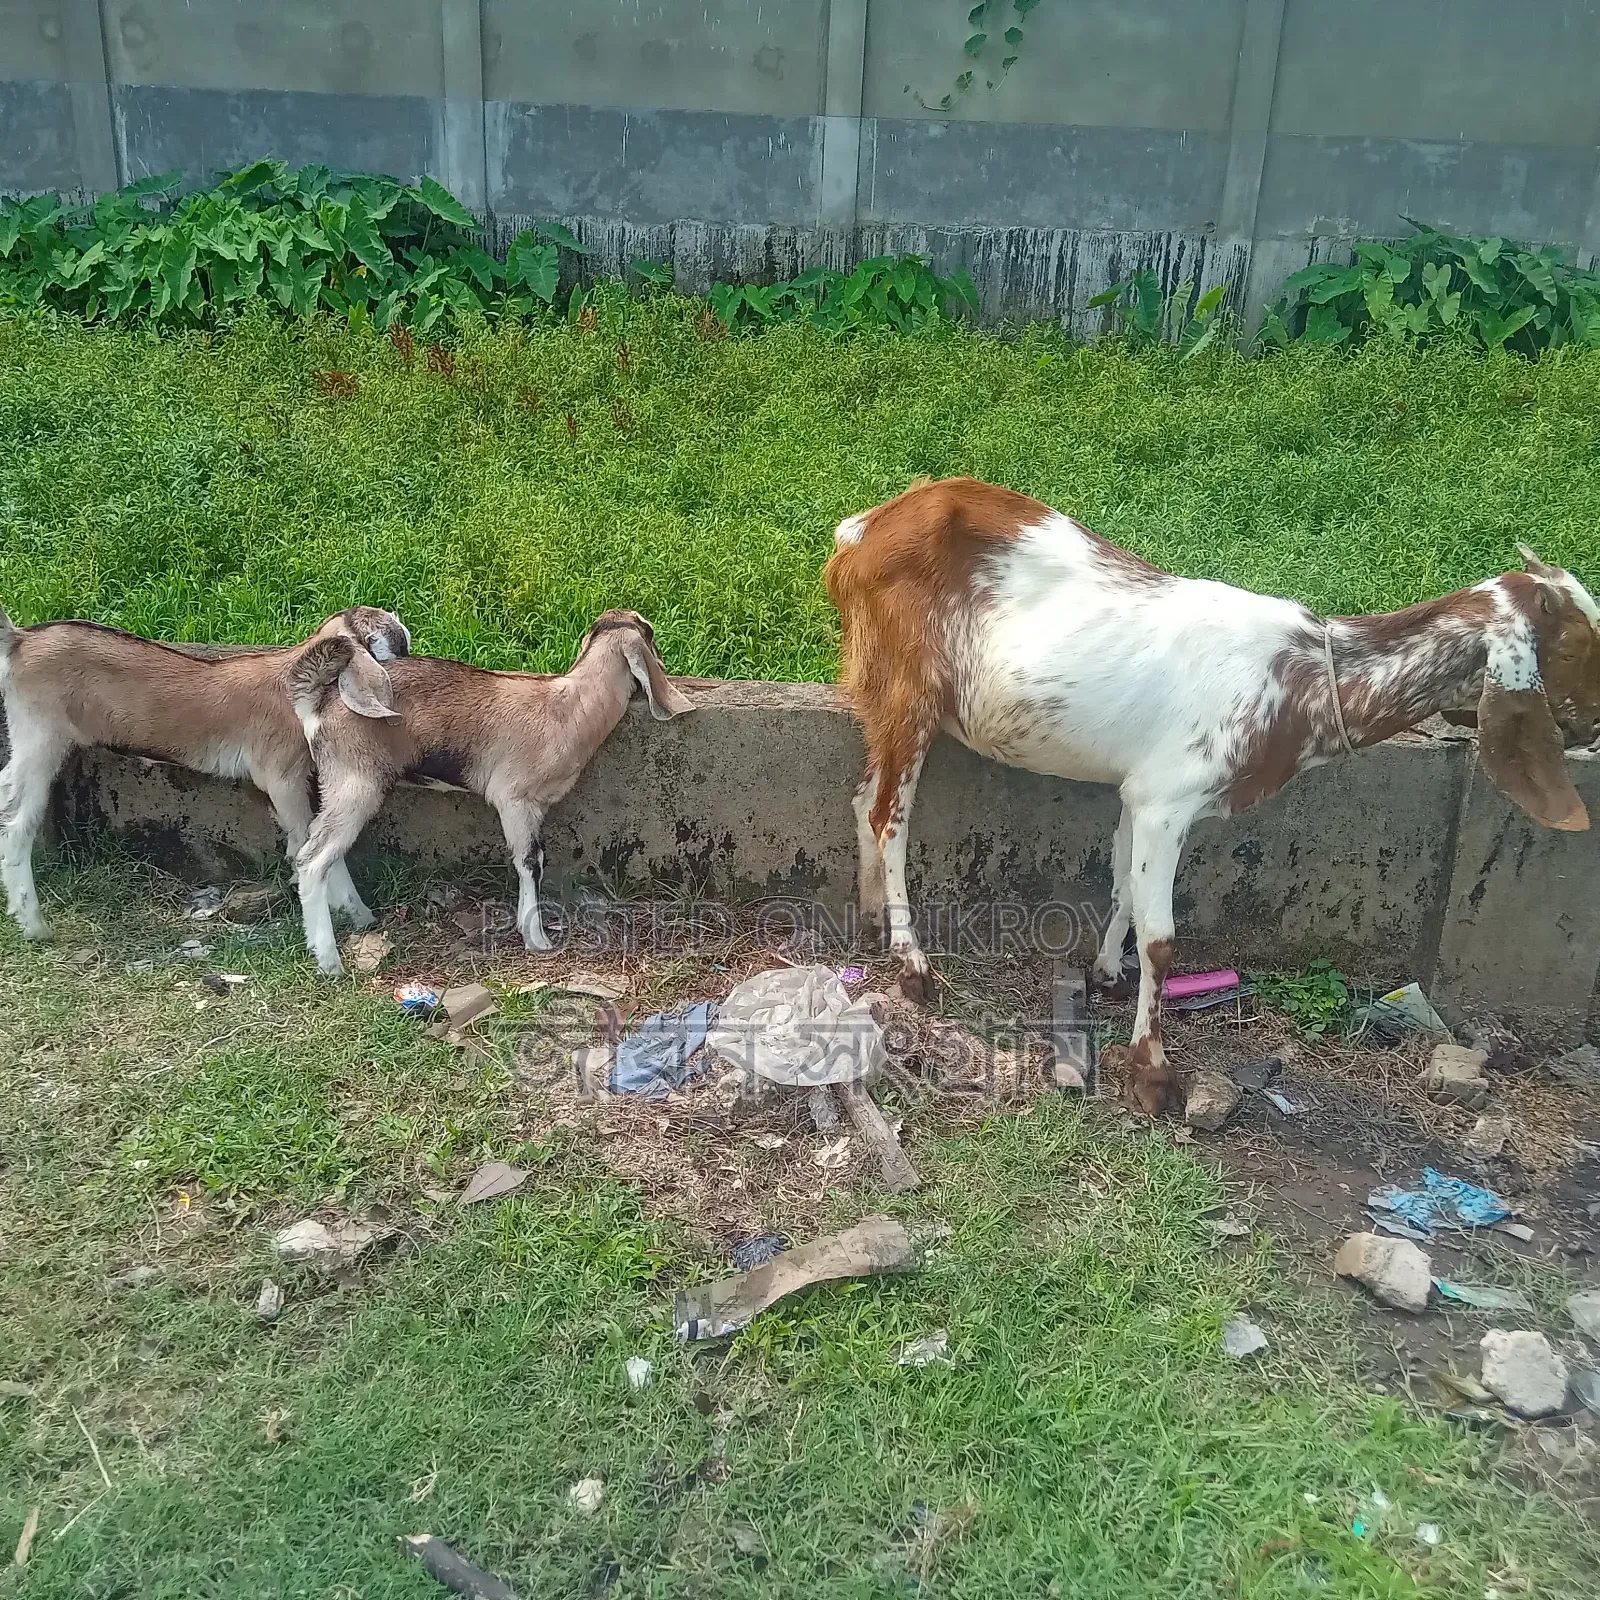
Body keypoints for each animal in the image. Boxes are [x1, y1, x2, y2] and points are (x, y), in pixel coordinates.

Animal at [0, 606, 410, 942]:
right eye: (395, 643)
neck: (295, 676)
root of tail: (19, 640)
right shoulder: (281, 775)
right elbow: (311, 843)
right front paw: (358, 914)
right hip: (41, 733)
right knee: (18, 820)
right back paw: (33, 925)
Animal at [288, 609, 693, 977]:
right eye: (650, 631)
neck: (567, 709)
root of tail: (318, 705)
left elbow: (533, 858)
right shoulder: (514, 799)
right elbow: (529, 861)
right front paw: (536, 937)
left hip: (338, 786)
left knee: (325, 850)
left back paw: (361, 918)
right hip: (356, 782)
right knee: (312, 858)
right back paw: (329, 961)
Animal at [825, 476, 1600, 1117]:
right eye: (1574, 645)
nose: (1594, 723)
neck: (1303, 680)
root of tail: (858, 533)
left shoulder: (1138, 795)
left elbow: (1125, 889)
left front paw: (1107, 973)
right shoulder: (1169, 800)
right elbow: (1163, 937)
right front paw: (1152, 1073)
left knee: (864, 796)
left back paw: (871, 921)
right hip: (909, 688)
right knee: (889, 813)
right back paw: (913, 964)